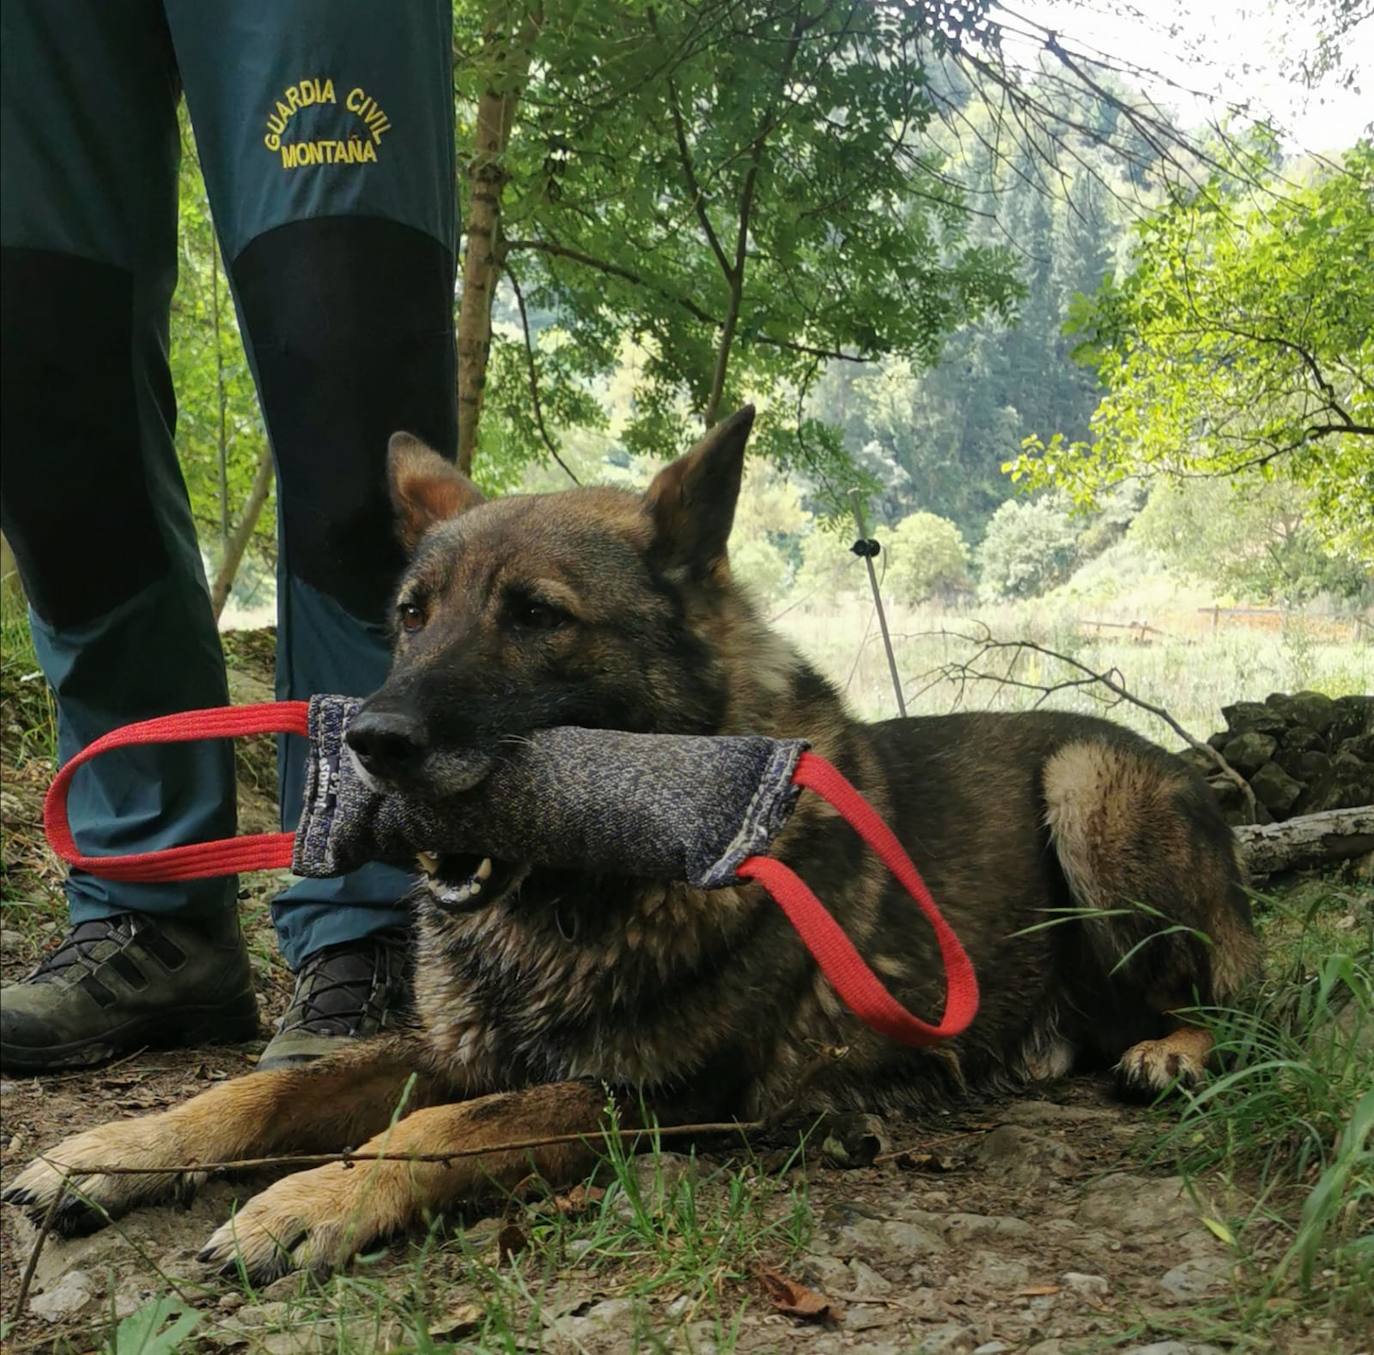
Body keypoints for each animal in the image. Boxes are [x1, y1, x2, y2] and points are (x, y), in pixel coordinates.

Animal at [5, 404, 1258, 1280]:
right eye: (411, 616)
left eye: (536, 616)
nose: (369, 742)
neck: (576, 898)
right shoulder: (457, 1048)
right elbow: (258, 1094)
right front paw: (114, 1147)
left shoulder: (646, 1095)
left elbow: (445, 1128)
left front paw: (304, 1200)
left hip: (1088, 793)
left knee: (1235, 999)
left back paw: (1177, 1049)